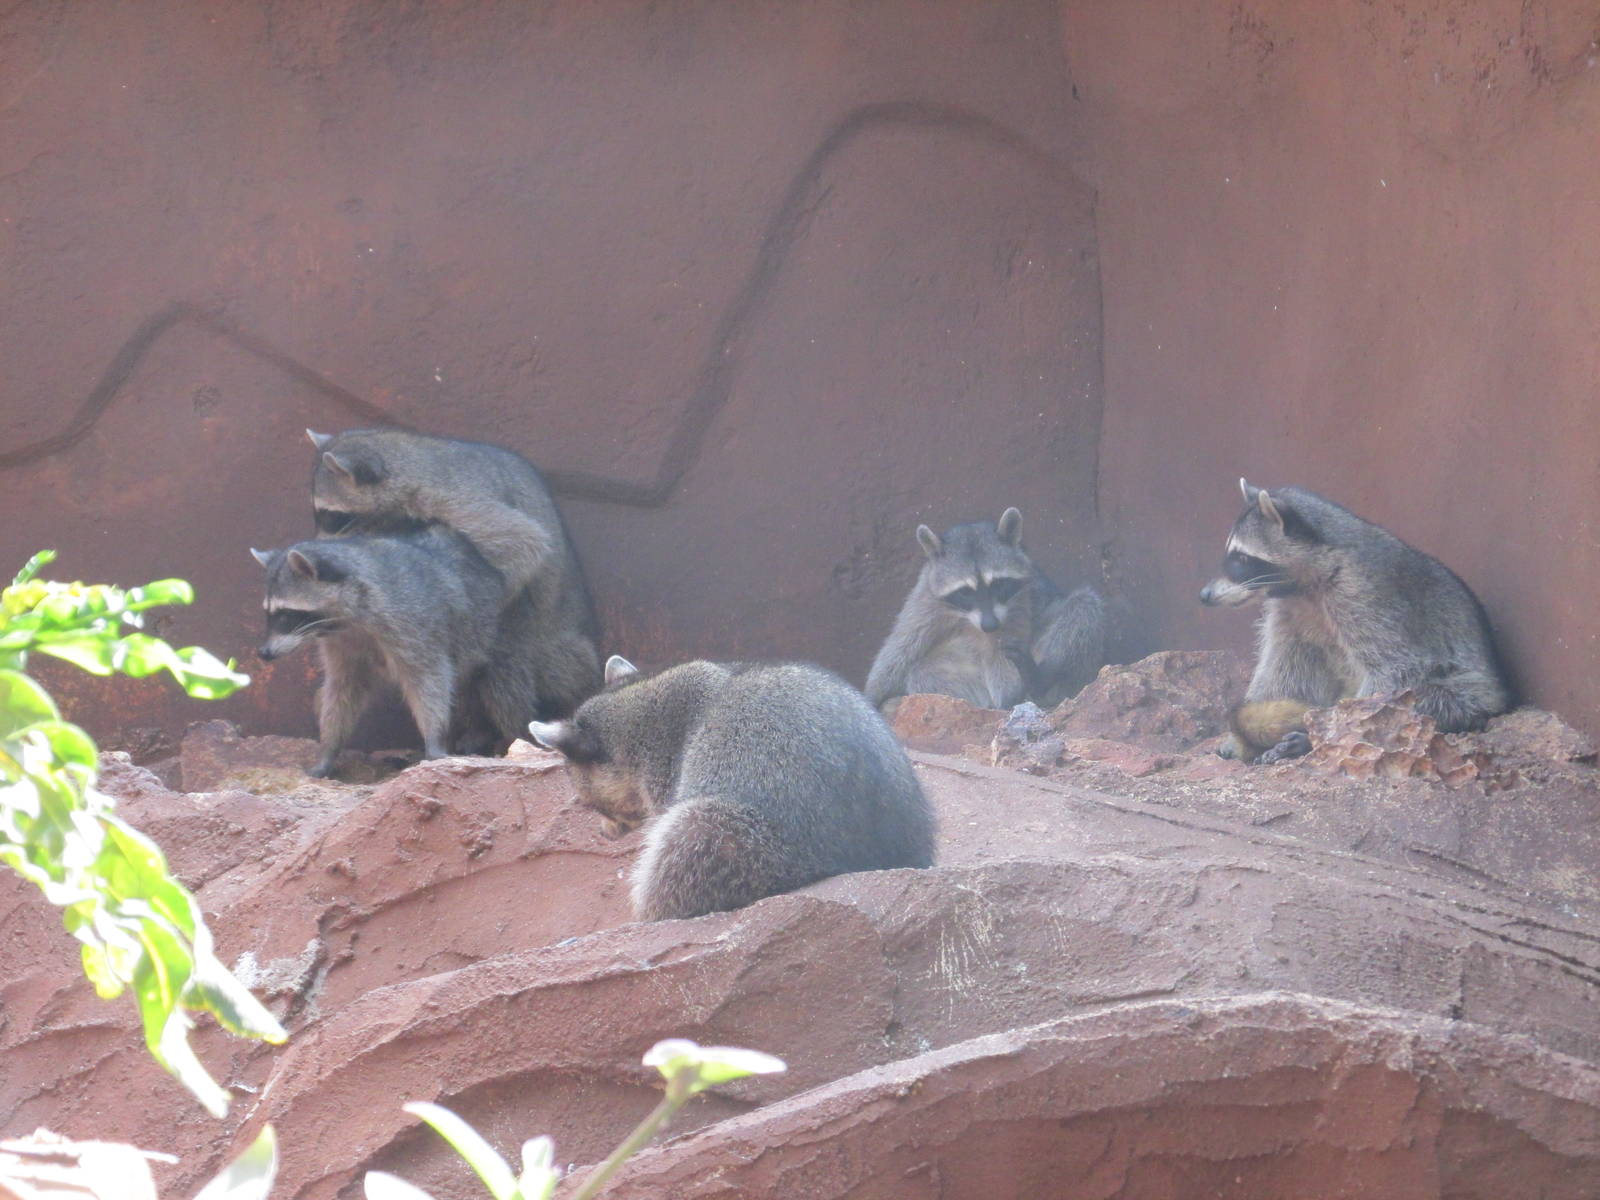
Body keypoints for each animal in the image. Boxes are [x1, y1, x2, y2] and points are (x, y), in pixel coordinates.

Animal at [253, 528, 504, 776]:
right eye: (267, 613)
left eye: (286, 614)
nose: (264, 653)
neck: (344, 620)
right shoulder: (341, 642)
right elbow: (342, 689)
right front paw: (329, 749)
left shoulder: (414, 622)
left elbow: (429, 678)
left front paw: (435, 737)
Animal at [306, 428, 602, 734]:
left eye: (330, 516)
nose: (314, 551)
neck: (408, 455)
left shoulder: (451, 498)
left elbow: (524, 543)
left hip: (543, 647)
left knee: (505, 667)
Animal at [864, 507, 1106, 711]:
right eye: (965, 592)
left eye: (997, 585)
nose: (990, 625)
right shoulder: (926, 599)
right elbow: (900, 648)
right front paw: (874, 694)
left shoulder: (1020, 602)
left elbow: (1002, 649)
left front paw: (1010, 692)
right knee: (923, 672)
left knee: (1083, 607)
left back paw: (1040, 679)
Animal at [1201, 479, 1510, 763]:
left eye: (1241, 558)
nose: (1204, 595)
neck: (1305, 584)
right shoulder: (1288, 608)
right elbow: (1282, 669)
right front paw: (1241, 737)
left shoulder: (1367, 596)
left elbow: (1393, 673)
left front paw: (1327, 734)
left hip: (1469, 695)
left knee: (1421, 701)